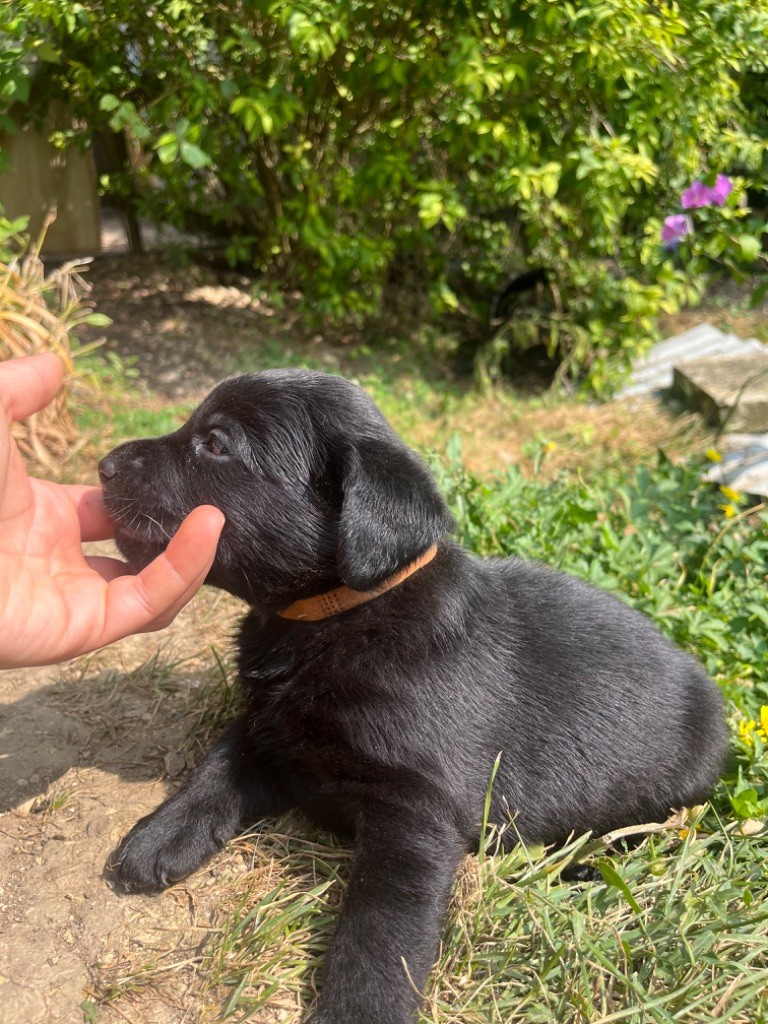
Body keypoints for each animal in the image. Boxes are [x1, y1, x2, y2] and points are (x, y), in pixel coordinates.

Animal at [99, 370, 729, 1024]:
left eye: (217, 444)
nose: (103, 465)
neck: (340, 614)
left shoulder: (416, 811)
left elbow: (379, 928)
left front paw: (358, 1009)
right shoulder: (269, 728)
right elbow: (218, 767)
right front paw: (161, 834)